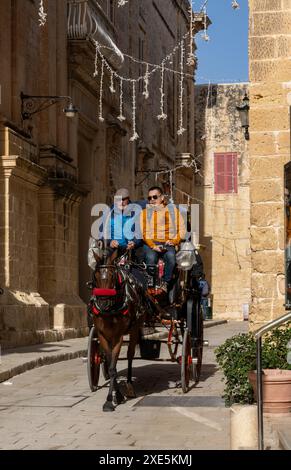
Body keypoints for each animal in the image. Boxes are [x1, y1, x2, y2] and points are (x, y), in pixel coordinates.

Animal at [89, 242, 148, 412]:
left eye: (113, 275)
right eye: (95, 276)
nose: (103, 303)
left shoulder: (117, 336)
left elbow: (113, 366)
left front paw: (112, 398)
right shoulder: (102, 335)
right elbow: (110, 365)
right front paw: (115, 396)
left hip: (134, 329)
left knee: (130, 355)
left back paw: (129, 385)